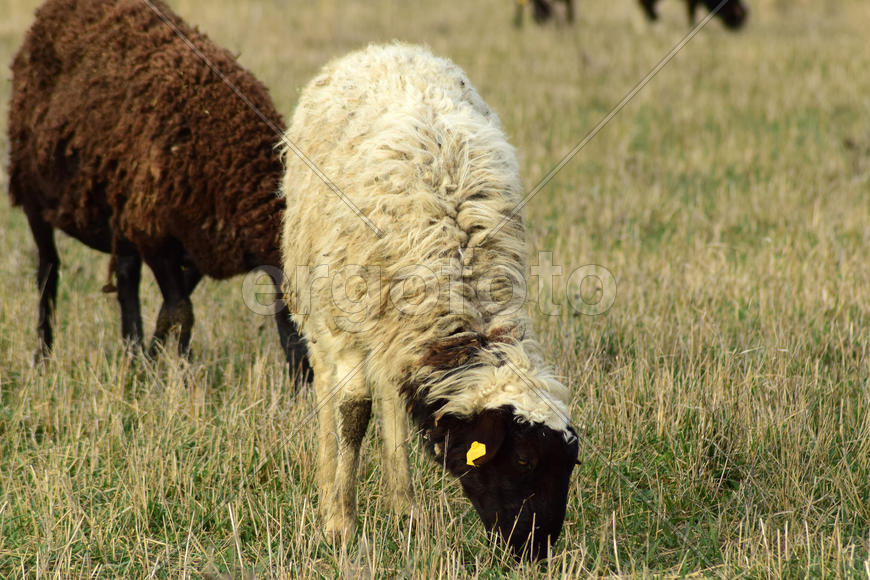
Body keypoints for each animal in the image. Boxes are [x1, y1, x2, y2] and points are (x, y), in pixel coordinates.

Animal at [7, 0, 309, 377]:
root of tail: (49, 13)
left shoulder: (195, 247)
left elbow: (173, 308)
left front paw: (157, 364)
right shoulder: (154, 234)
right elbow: (180, 311)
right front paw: (170, 375)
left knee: (125, 280)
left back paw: (131, 351)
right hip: (33, 194)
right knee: (48, 271)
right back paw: (44, 355)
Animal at [280, 44, 579, 559]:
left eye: (567, 466)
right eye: (522, 459)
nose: (534, 551)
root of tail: (384, 48)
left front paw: (405, 518)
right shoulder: (348, 322)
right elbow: (352, 414)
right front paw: (339, 525)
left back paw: (406, 509)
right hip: (318, 300)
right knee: (327, 392)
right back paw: (327, 487)